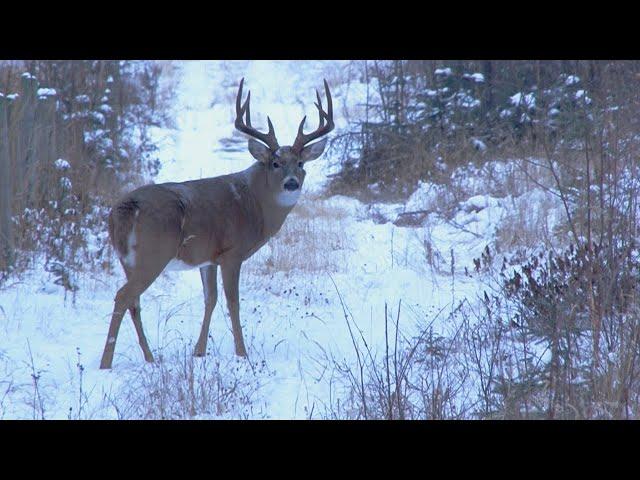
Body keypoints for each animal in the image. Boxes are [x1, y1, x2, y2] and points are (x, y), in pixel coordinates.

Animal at [99, 78, 336, 368]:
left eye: (301, 163)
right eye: (275, 163)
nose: (292, 183)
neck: (255, 204)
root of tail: (123, 210)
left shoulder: (208, 257)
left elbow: (209, 299)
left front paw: (199, 351)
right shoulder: (232, 253)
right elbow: (233, 302)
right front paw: (242, 353)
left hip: (128, 260)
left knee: (134, 301)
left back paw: (150, 357)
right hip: (153, 254)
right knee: (124, 296)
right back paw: (106, 363)